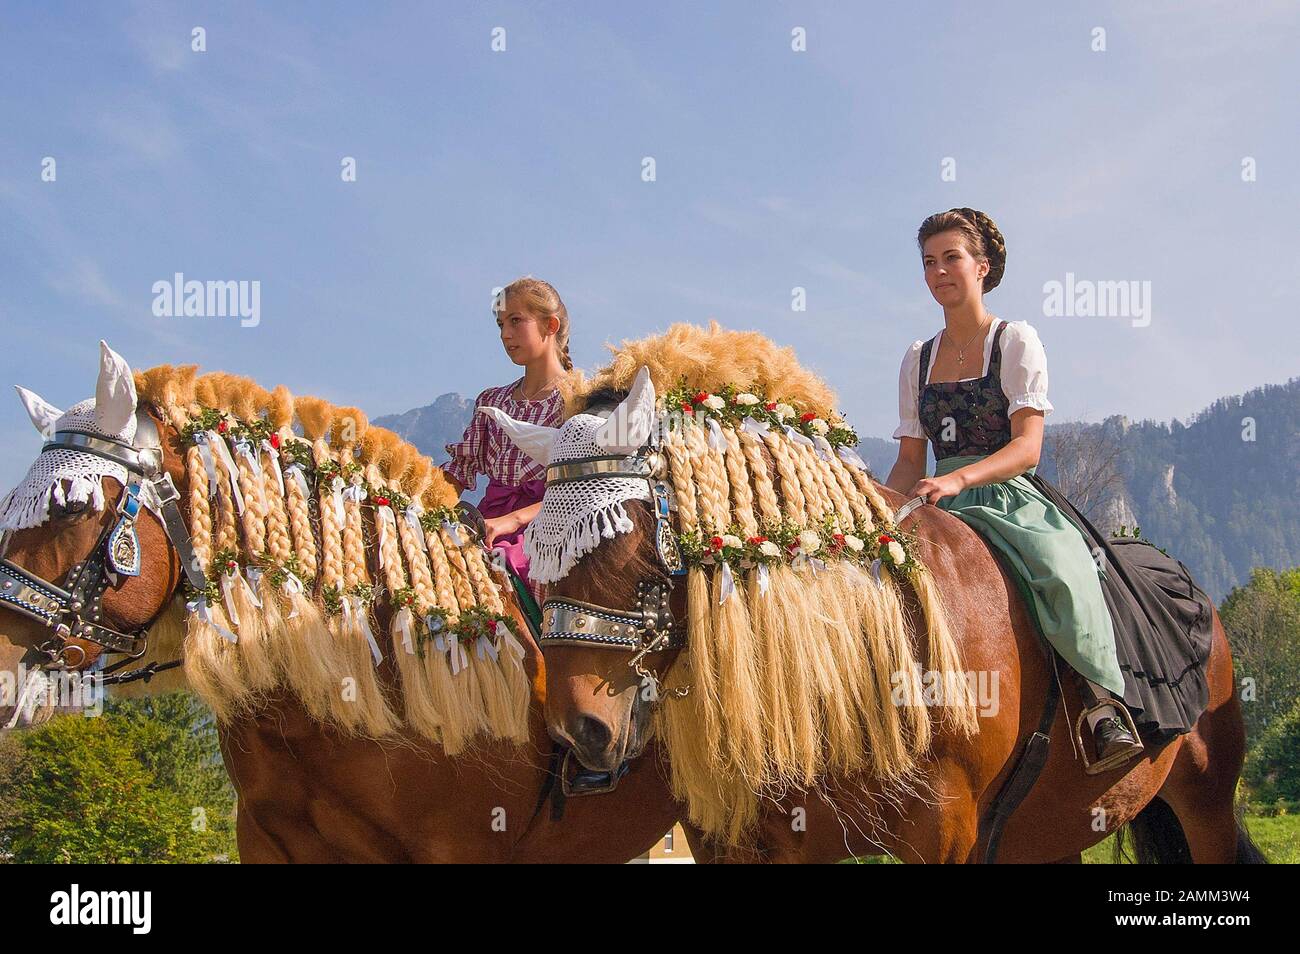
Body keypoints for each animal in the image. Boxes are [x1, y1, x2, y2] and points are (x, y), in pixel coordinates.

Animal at [486, 323, 1258, 868]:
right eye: (542, 552)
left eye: (631, 536)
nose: (578, 730)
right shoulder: (748, 840)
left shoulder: (945, 827)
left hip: (1207, 799)